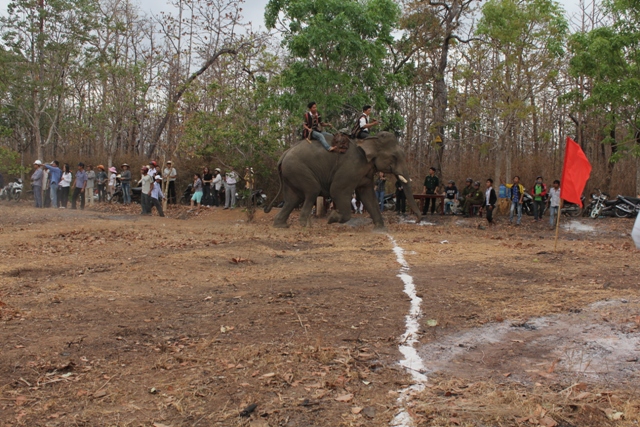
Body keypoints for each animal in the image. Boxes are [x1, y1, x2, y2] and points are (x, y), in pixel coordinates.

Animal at [262, 132, 422, 229]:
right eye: (394, 157)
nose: (417, 220)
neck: (369, 140)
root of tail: (283, 155)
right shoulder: (351, 167)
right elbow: (337, 191)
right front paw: (331, 218)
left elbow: (367, 195)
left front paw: (381, 228)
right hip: (298, 169)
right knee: (311, 191)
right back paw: (305, 225)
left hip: (290, 174)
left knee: (293, 198)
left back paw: (281, 225)